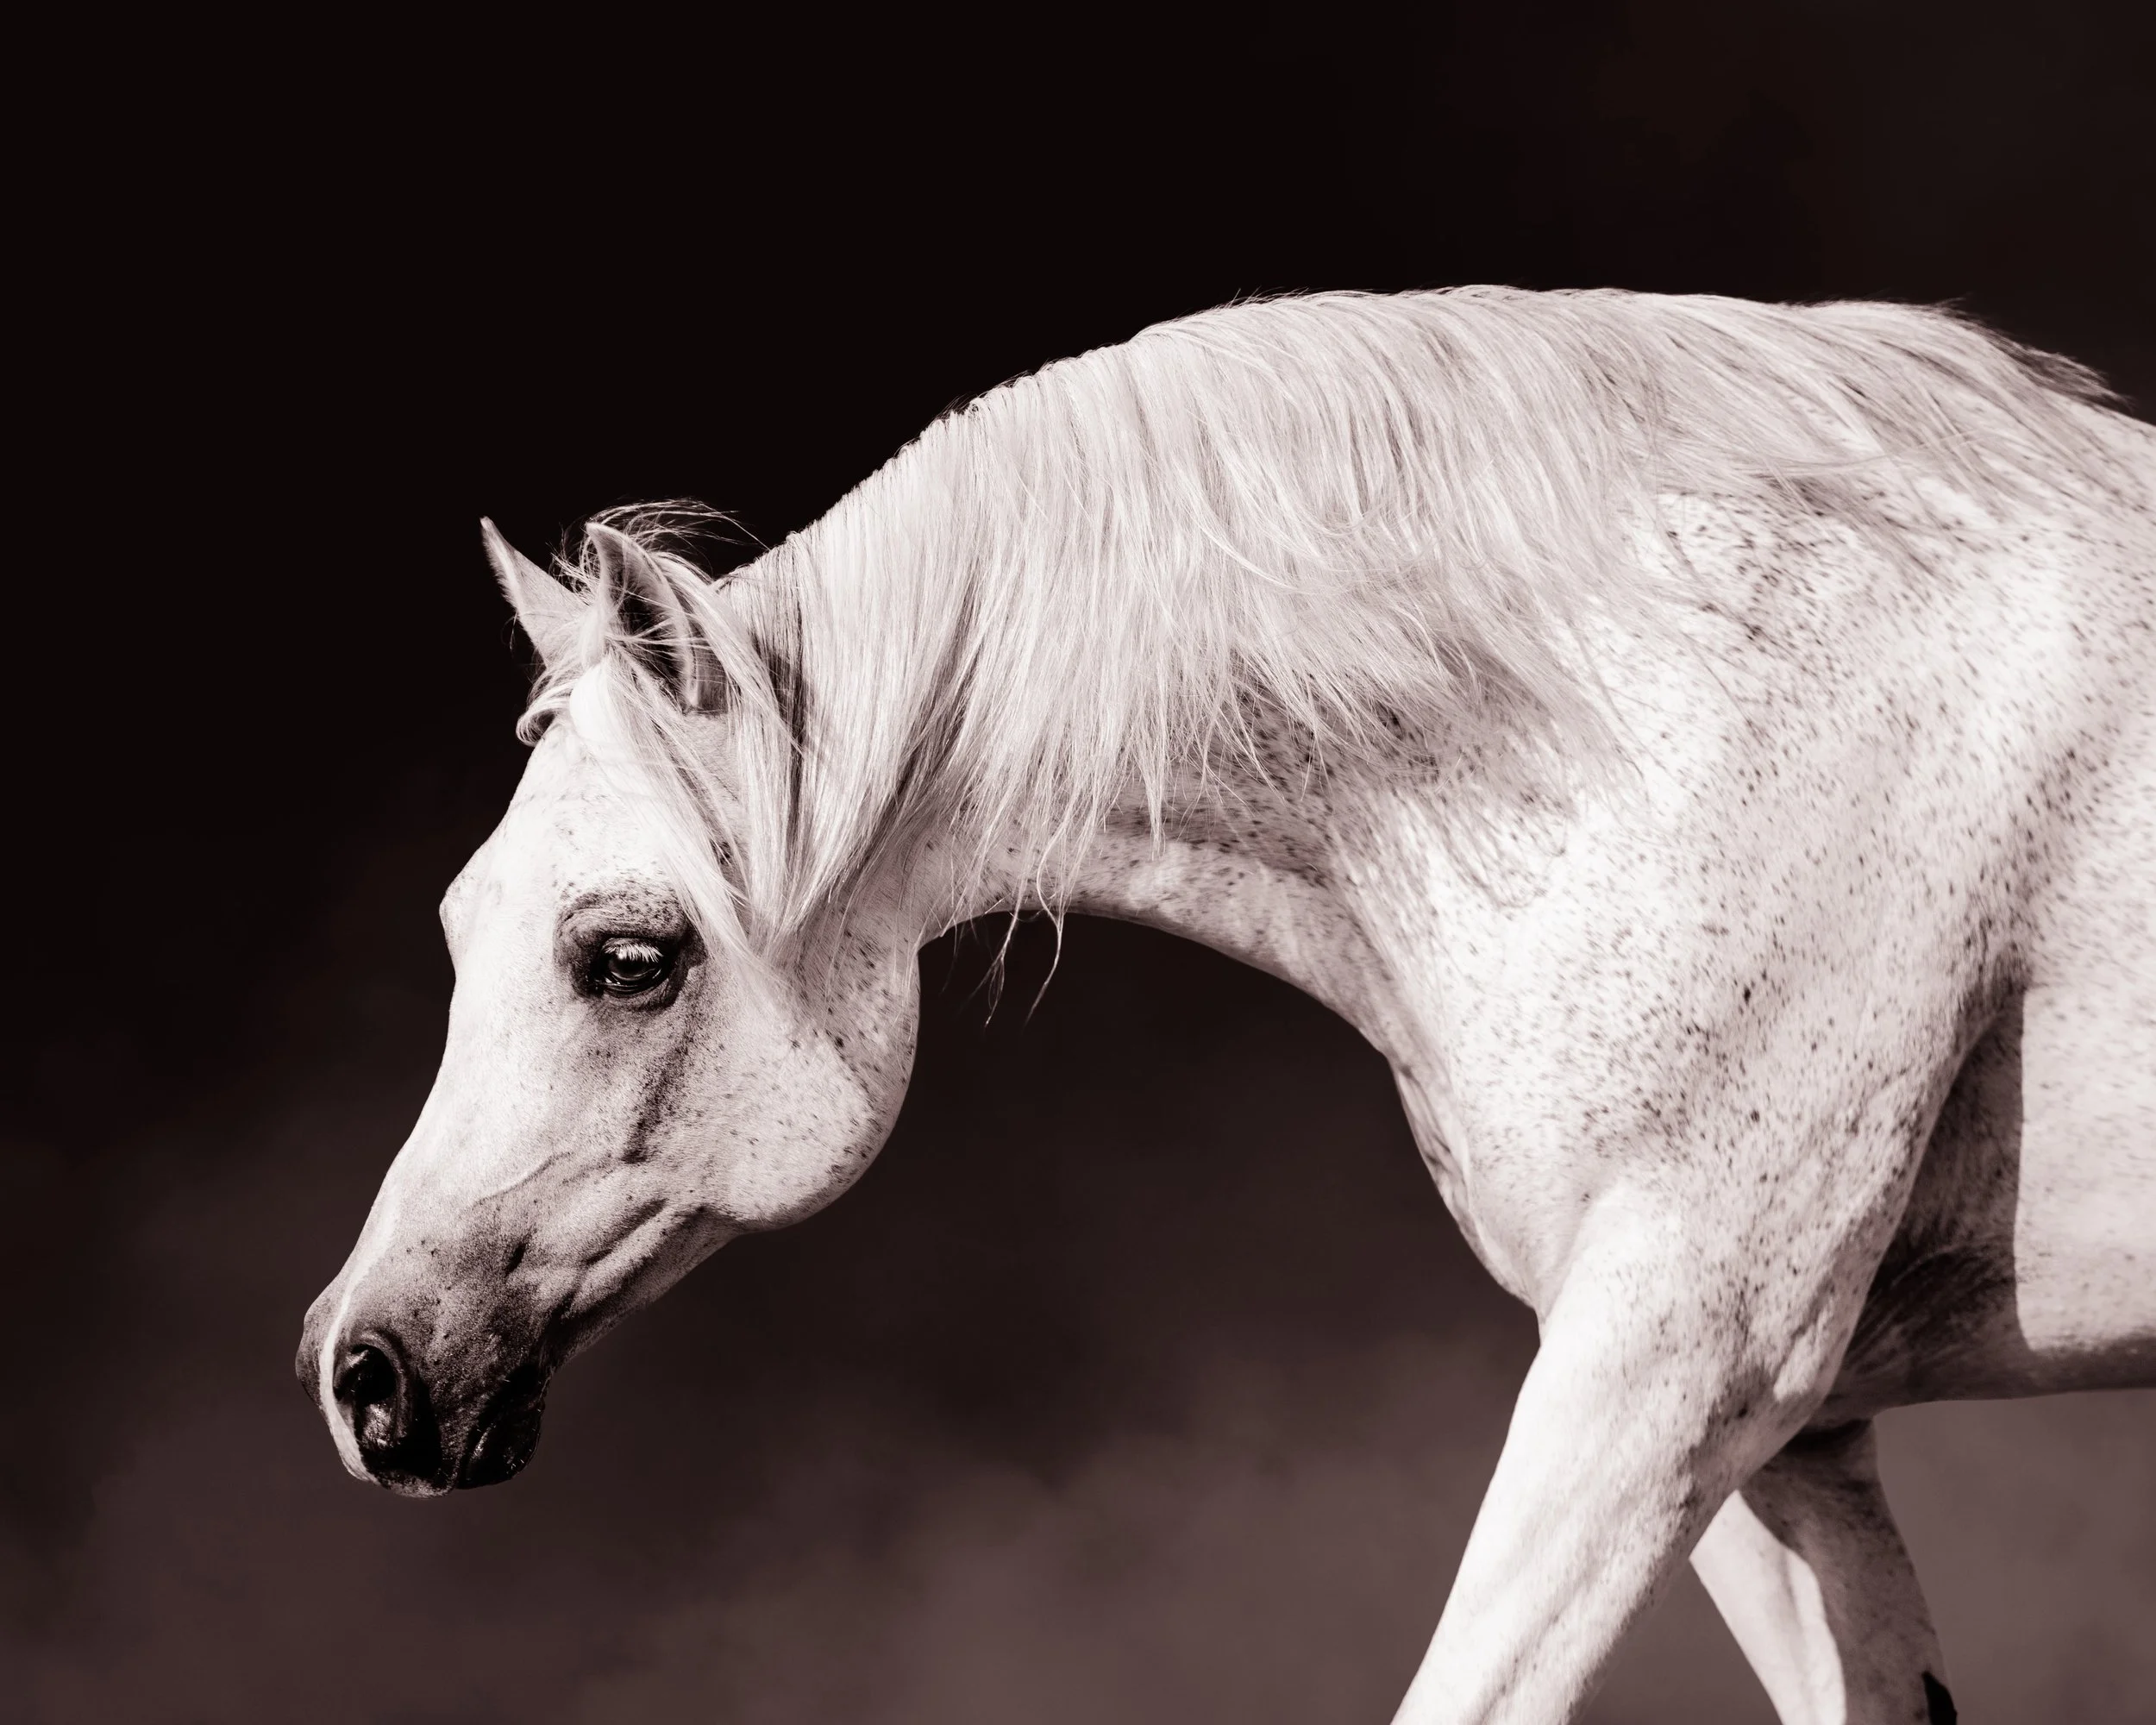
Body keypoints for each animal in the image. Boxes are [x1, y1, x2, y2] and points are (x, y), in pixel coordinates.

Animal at [297, 287, 2155, 1725]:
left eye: (628, 956)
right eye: (461, 925)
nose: (364, 1372)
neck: (1676, 703)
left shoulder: (1677, 1364)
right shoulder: (1792, 1441)